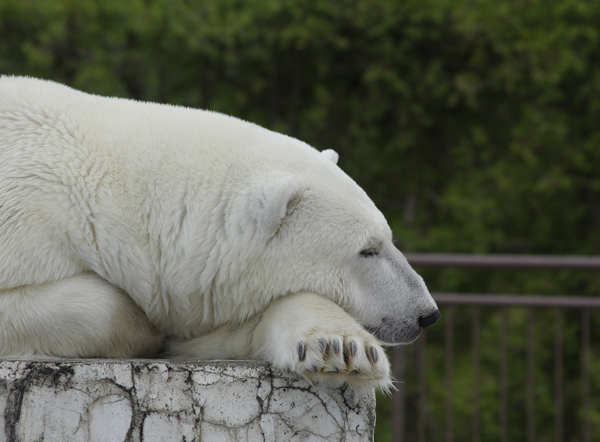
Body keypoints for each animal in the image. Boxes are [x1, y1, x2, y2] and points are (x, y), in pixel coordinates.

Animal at [1, 76, 440, 390]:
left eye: (388, 237)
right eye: (367, 250)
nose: (426, 314)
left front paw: (344, 349)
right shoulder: (26, 221)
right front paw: (144, 330)